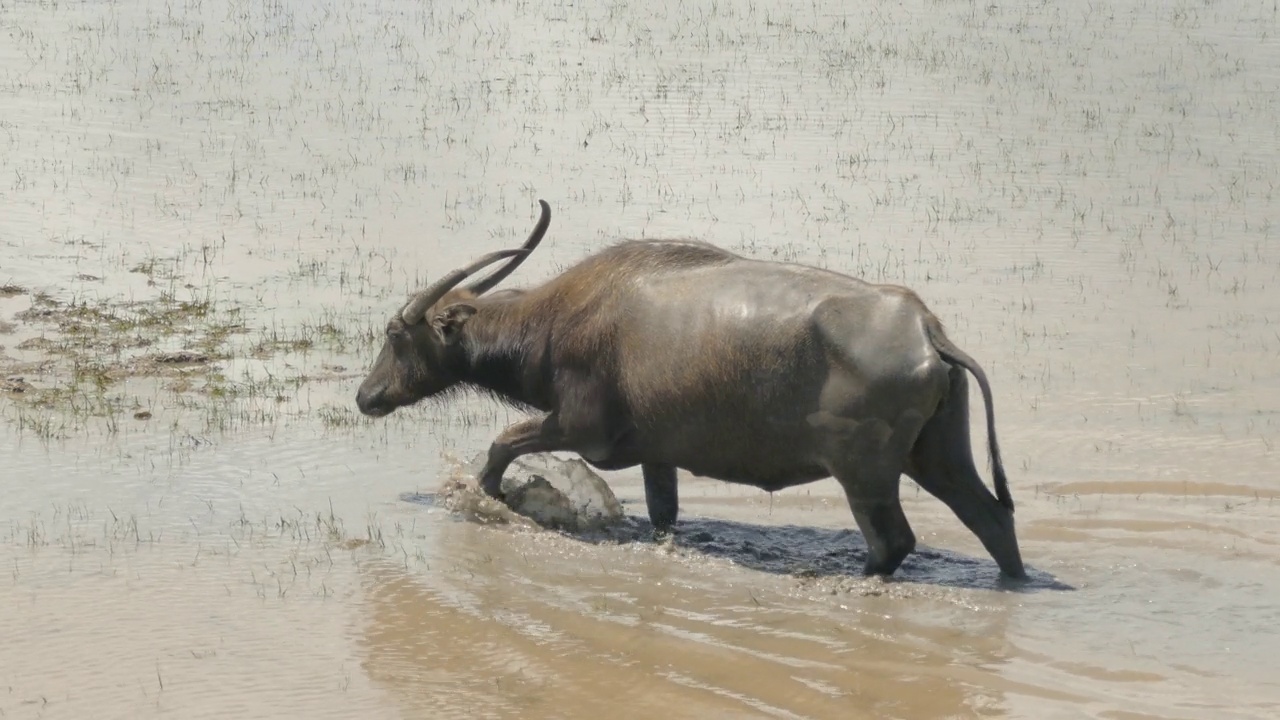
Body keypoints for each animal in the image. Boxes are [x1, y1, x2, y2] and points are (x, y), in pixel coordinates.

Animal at [353, 199, 1029, 576]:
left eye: (393, 332)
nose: (366, 397)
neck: (555, 323)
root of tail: (925, 328)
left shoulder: (580, 428)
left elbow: (502, 444)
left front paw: (487, 494)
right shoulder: (657, 454)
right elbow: (663, 514)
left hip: (866, 475)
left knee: (894, 543)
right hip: (938, 458)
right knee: (994, 522)